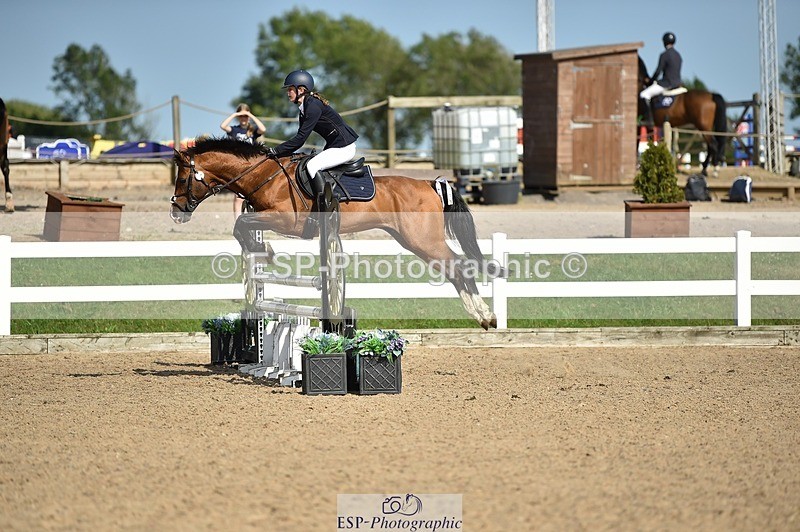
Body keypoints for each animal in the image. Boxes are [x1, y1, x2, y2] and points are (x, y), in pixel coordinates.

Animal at [169, 137, 499, 330]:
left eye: (183, 178)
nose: (176, 211)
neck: (265, 176)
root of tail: (430, 184)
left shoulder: (284, 220)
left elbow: (240, 225)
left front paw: (266, 252)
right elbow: (242, 227)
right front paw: (261, 251)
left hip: (423, 240)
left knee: (459, 267)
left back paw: (485, 316)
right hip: (413, 241)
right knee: (455, 269)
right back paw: (482, 316)